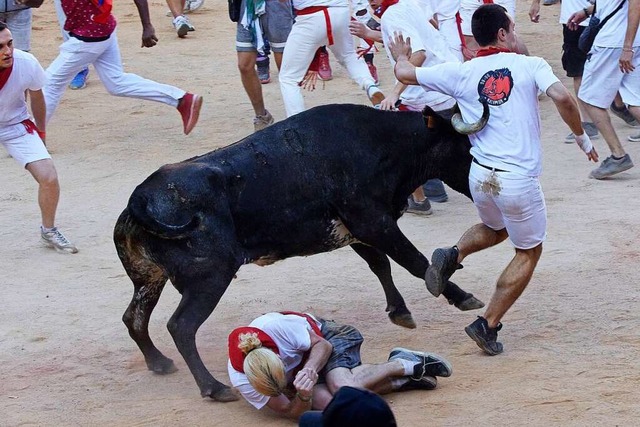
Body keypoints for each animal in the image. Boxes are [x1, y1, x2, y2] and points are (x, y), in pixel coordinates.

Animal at [115, 103, 484, 402]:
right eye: (468, 148)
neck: (388, 144)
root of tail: (140, 197)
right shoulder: (373, 222)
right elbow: (415, 262)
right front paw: (462, 297)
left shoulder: (357, 231)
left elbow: (381, 264)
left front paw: (400, 311)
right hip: (209, 278)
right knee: (181, 326)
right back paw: (214, 388)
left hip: (149, 278)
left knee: (134, 317)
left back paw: (159, 363)